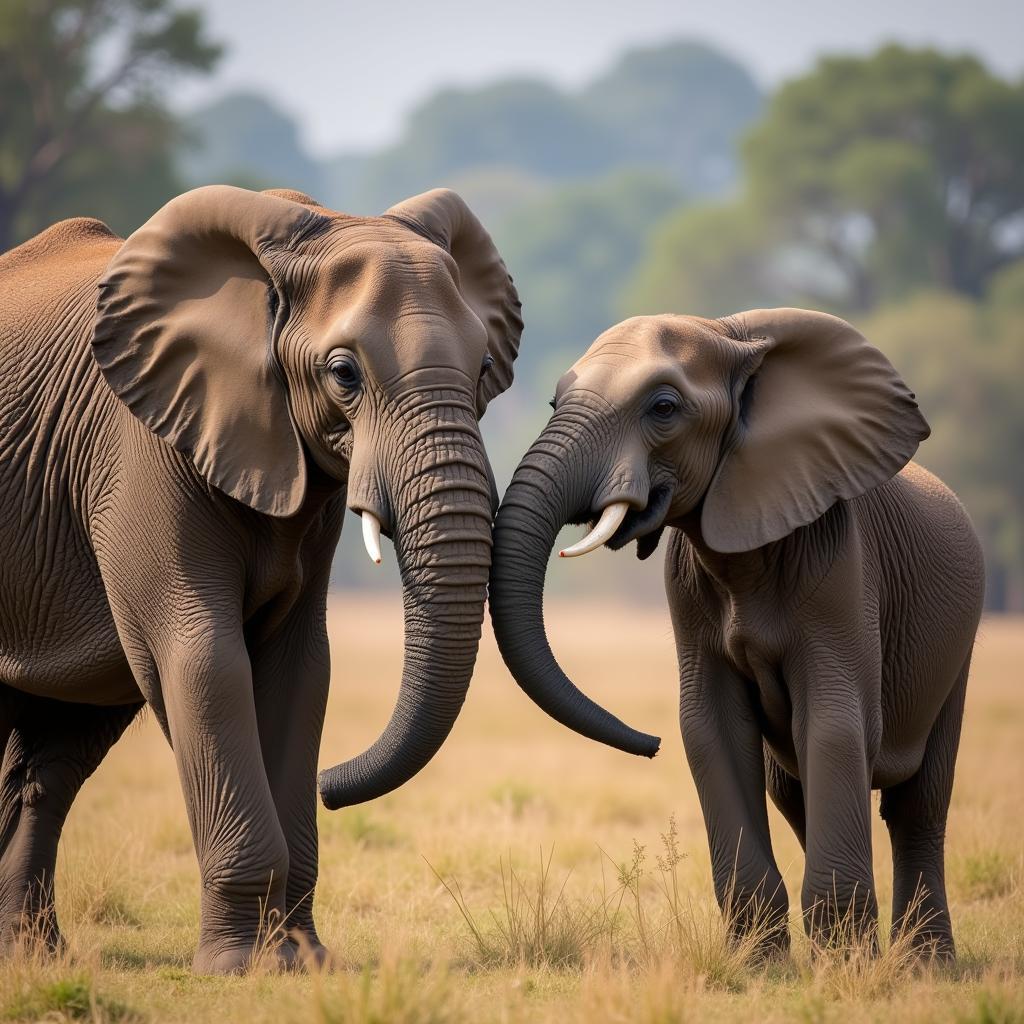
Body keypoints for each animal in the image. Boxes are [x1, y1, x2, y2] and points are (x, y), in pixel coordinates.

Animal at [0, 184, 520, 974]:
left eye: (485, 364)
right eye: (344, 373)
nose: (334, 787)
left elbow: (301, 669)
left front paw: (302, 961)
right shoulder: (141, 448)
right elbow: (205, 659)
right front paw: (239, 968)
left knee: (61, 745)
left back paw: (35, 957)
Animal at [491, 307, 987, 954]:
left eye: (664, 408)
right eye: (554, 401)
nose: (647, 744)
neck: (729, 333)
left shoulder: (840, 564)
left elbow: (832, 721)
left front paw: (845, 963)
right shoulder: (687, 585)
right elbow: (712, 727)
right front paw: (763, 962)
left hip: (958, 646)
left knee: (919, 804)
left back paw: (923, 963)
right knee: (793, 790)